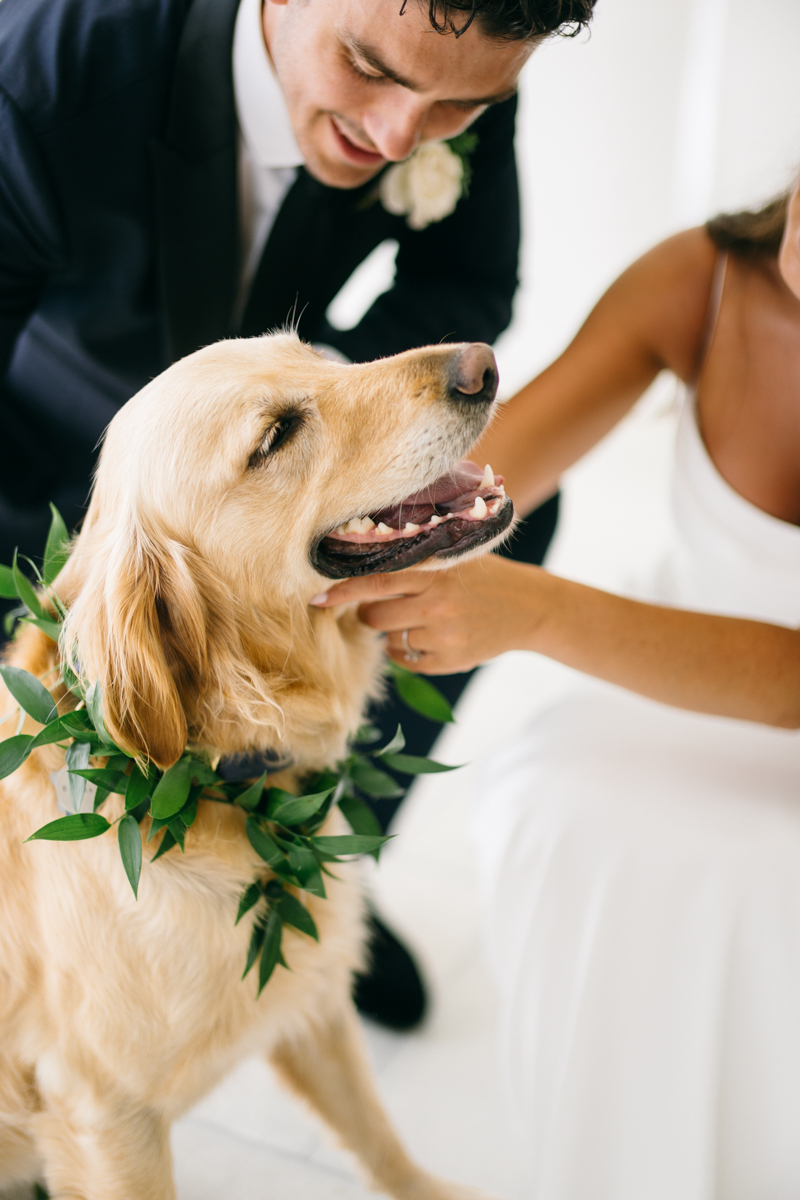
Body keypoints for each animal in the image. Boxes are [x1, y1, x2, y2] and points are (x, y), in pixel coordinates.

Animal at [0, 331, 513, 1200]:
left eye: (316, 356)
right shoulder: (109, 1118)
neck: (213, 774)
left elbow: (381, 1140)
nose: (482, 363)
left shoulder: (312, 998)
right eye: (274, 436)